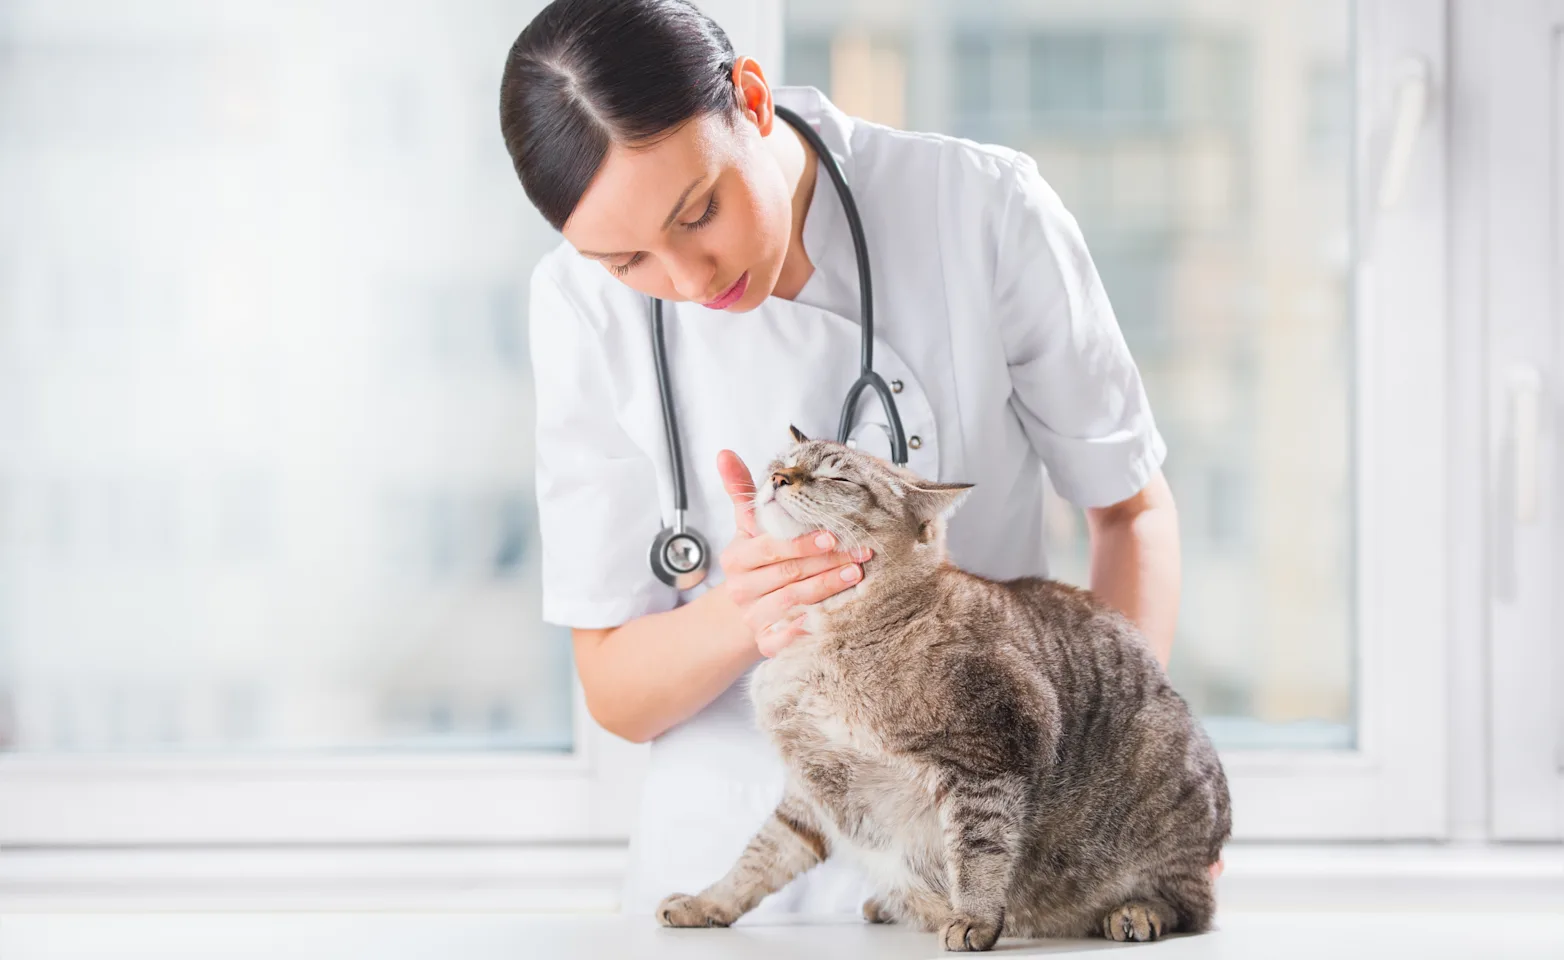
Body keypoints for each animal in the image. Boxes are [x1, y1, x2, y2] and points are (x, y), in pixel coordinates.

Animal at [653, 431, 1226, 956]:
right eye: (784, 460)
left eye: (837, 477)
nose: (777, 479)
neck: (819, 639)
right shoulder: (810, 790)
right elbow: (758, 859)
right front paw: (705, 903)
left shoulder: (988, 754)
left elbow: (977, 853)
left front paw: (972, 919)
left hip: (1167, 795)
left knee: (1191, 906)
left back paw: (1135, 912)